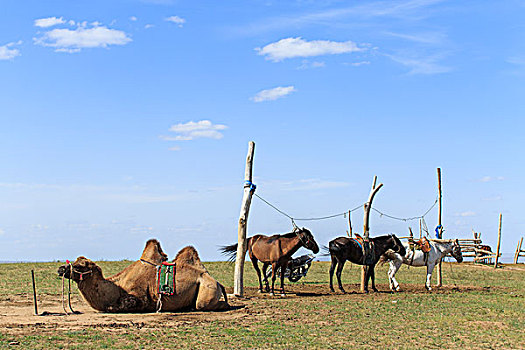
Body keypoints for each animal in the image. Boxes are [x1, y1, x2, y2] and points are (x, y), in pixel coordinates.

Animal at [57, 239, 229, 314]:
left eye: (79, 266)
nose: (60, 269)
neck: (116, 288)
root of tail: (217, 282)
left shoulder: (138, 297)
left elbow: (115, 307)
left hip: (207, 289)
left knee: (205, 304)